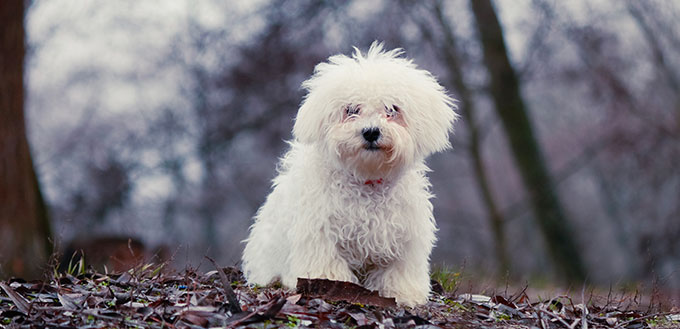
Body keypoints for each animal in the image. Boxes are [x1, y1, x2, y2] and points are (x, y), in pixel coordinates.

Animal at [242, 41, 460, 304]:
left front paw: (403, 293)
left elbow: (397, 270)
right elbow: (325, 263)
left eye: (392, 109)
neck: (367, 180)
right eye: (351, 109)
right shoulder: (319, 232)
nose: (371, 132)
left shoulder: (403, 237)